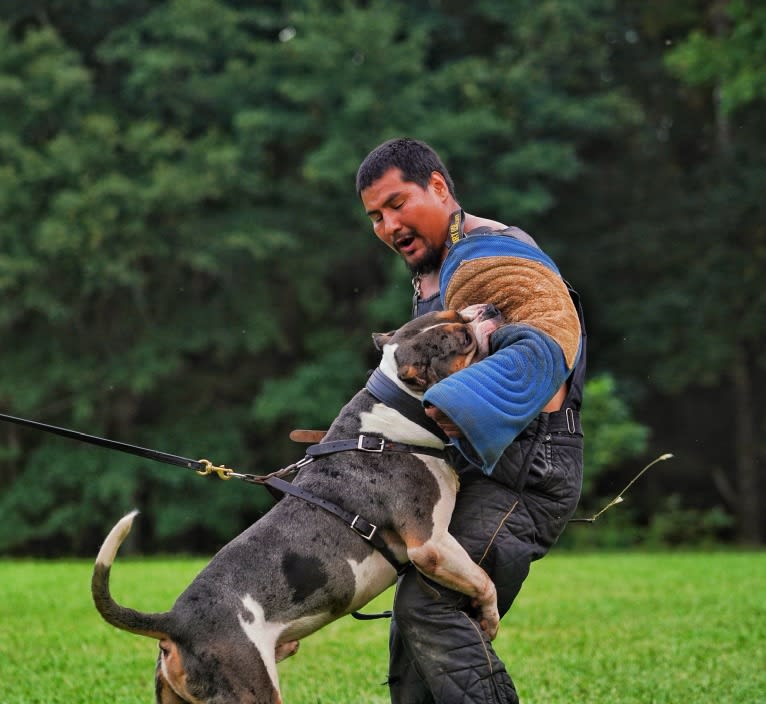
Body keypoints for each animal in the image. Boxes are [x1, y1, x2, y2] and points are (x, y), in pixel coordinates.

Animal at [91, 302, 504, 704]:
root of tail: (175, 623)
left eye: (457, 311)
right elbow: (484, 581)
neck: (395, 413)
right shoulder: (430, 545)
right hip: (253, 690)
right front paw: (489, 619)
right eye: (463, 340)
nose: (491, 310)